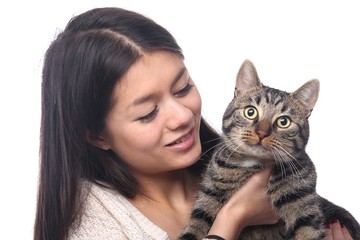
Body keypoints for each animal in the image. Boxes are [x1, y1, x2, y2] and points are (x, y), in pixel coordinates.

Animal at [178, 59, 360, 239]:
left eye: (283, 122)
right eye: (250, 112)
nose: (262, 133)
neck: (253, 164)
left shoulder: (303, 204)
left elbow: (308, 231)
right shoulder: (209, 194)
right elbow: (197, 223)